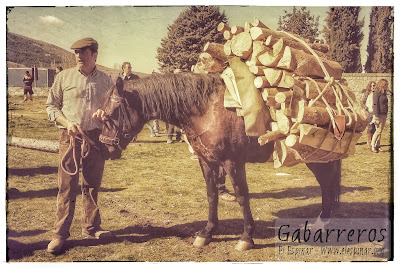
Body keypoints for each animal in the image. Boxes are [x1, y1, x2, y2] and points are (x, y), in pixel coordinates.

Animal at [97, 71, 340, 251]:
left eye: (113, 111)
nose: (105, 147)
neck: (207, 110)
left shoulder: (232, 162)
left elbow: (242, 196)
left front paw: (246, 237)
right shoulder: (207, 161)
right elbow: (211, 195)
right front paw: (207, 233)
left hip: (318, 160)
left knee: (328, 188)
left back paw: (322, 224)